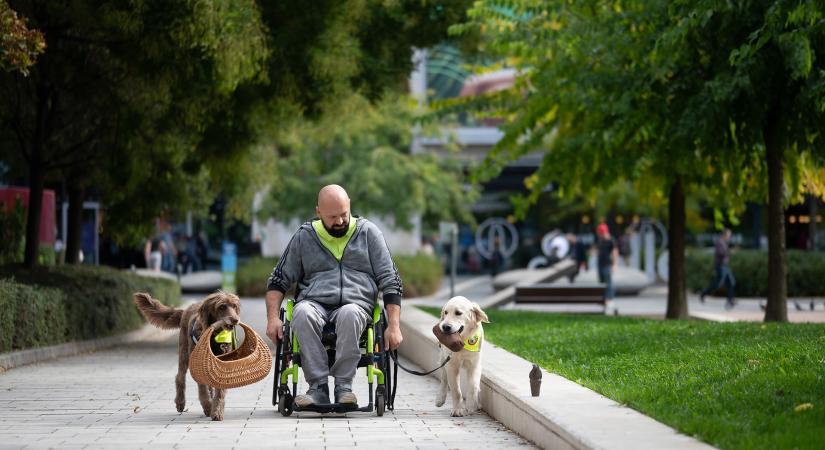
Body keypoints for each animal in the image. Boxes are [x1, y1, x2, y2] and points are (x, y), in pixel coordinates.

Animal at [132, 292, 240, 422]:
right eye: (222, 307)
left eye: (234, 306)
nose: (235, 320)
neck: (214, 336)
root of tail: (186, 310)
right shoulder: (197, 364)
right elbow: (203, 391)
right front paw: (208, 407)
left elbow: (219, 392)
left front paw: (217, 411)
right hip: (184, 354)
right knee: (179, 377)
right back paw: (180, 402)